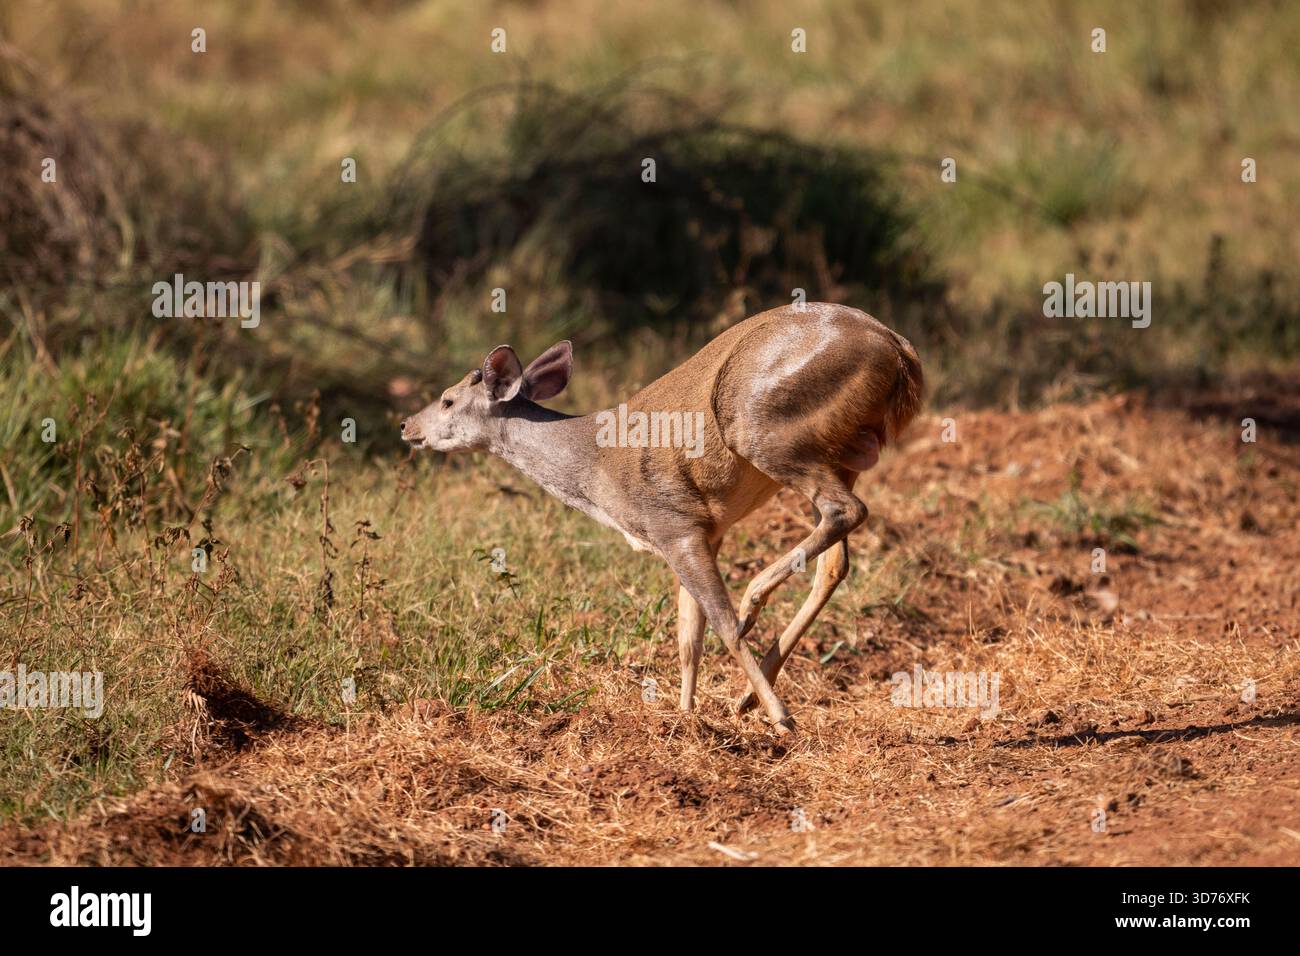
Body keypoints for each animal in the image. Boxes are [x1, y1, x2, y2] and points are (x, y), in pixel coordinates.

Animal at [401, 302, 924, 734]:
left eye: (447, 399)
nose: (406, 425)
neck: (594, 466)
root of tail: (898, 347)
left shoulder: (671, 523)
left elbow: (719, 622)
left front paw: (782, 718)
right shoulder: (705, 530)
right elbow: (688, 636)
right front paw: (687, 717)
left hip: (768, 430)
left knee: (844, 512)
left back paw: (754, 614)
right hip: (842, 454)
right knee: (835, 561)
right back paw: (744, 696)